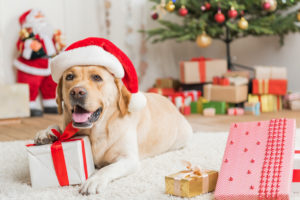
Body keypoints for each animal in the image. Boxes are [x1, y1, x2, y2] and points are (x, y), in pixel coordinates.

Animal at [34, 65, 192, 194]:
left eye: (97, 77)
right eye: (69, 77)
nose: (77, 91)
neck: (95, 131)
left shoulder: (129, 159)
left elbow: (107, 168)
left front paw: (94, 180)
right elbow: (57, 127)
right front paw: (47, 132)